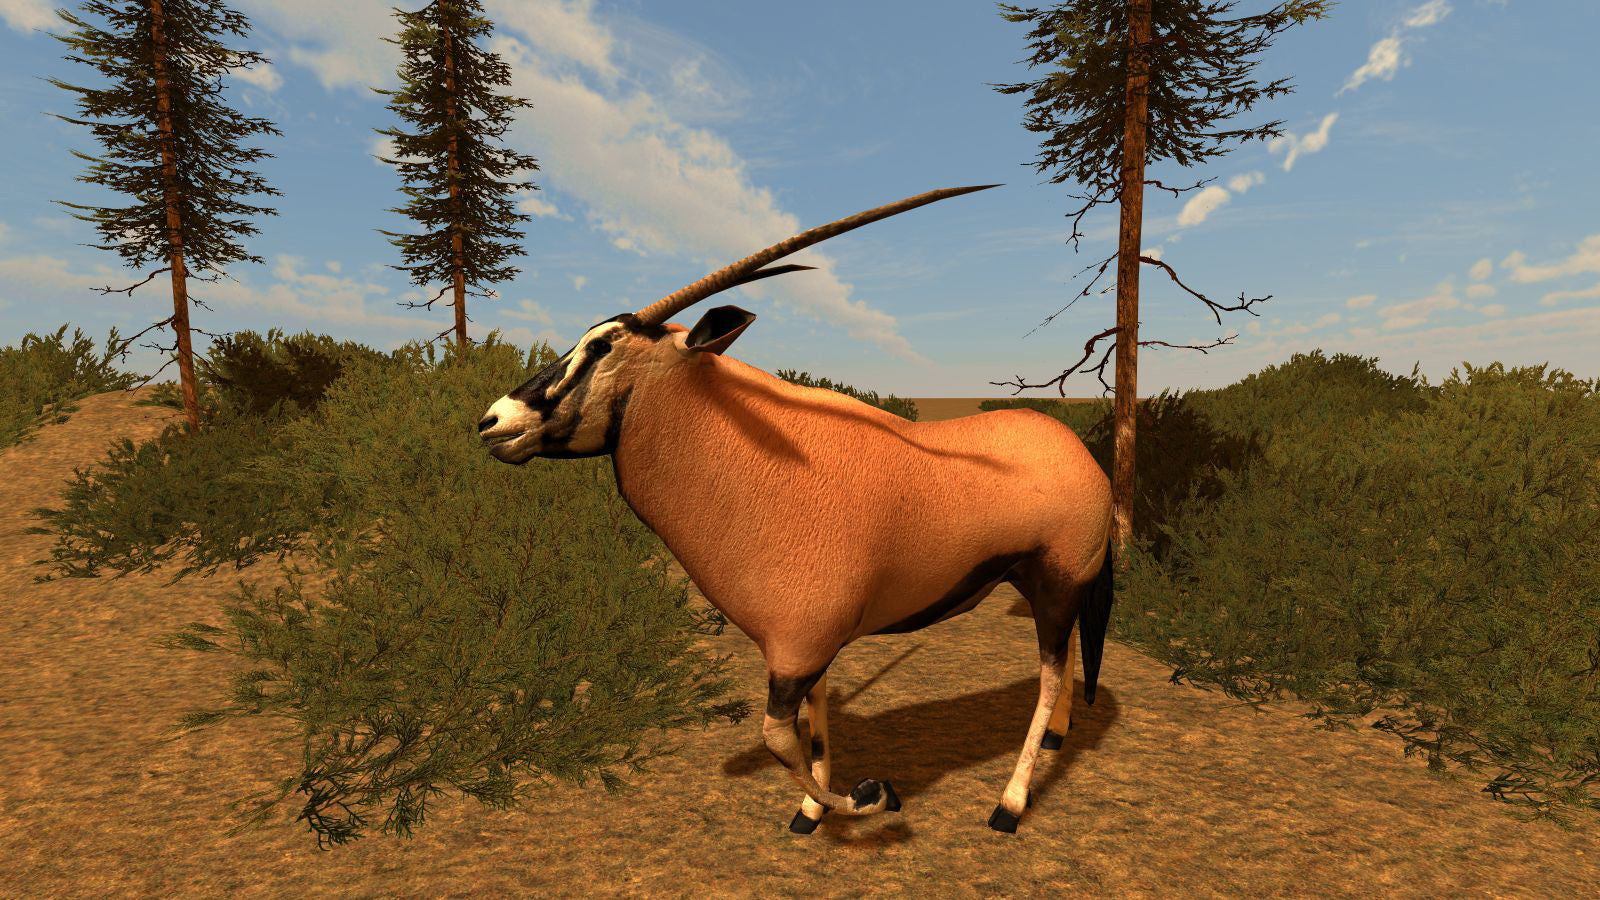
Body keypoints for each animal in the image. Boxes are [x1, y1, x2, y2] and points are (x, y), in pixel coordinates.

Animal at [478, 185, 1114, 834]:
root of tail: (1080, 453)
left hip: (1058, 581)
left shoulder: (795, 649)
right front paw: (810, 812)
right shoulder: (808, 647)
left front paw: (874, 795)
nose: (493, 421)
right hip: (1043, 586)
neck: (762, 457)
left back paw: (1009, 804)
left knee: (1049, 672)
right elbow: (814, 723)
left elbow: (778, 738)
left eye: (602, 346)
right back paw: (1058, 737)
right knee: (1064, 661)